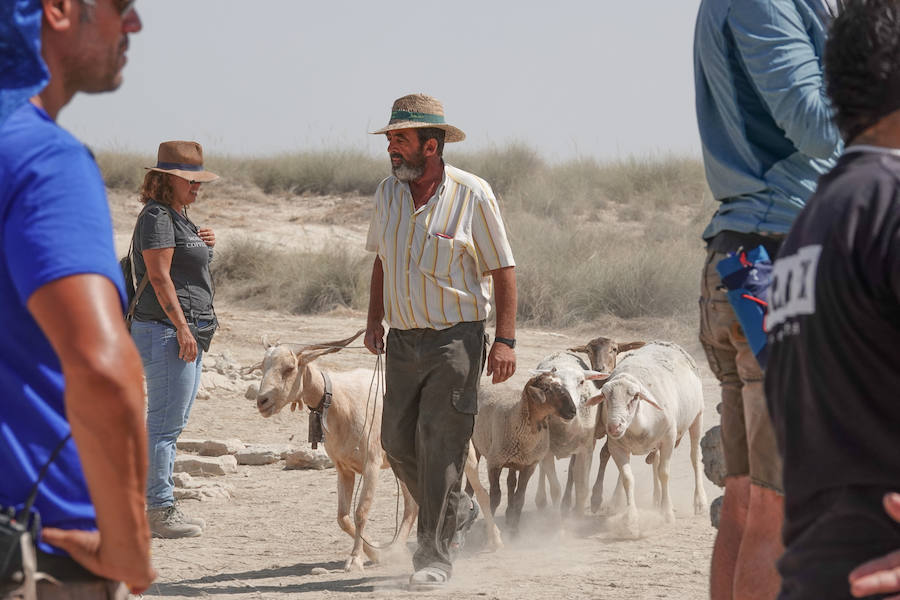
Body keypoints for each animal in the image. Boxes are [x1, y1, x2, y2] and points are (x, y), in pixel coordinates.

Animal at [251, 332, 416, 572]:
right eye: (263, 366)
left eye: (289, 368)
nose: (262, 401)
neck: (341, 401)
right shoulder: (343, 468)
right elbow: (342, 517)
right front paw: (375, 551)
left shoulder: (372, 464)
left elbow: (361, 512)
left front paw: (355, 559)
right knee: (412, 505)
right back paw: (395, 550)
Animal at [468, 370, 600, 536]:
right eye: (546, 389)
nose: (572, 411)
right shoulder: (494, 463)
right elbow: (495, 497)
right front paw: (488, 529)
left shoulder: (529, 465)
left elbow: (520, 498)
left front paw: (514, 531)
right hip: (476, 445)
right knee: (470, 482)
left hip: (515, 460)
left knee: (511, 482)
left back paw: (509, 515)